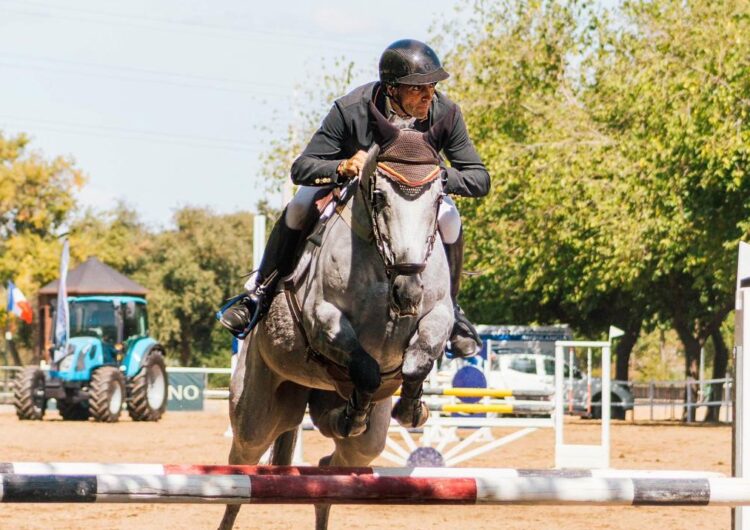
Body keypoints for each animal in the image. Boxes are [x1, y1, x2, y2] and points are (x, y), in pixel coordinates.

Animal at [220, 103, 456, 528]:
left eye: (436, 199)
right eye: (379, 197)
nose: (407, 291)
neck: (384, 266)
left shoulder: (438, 313)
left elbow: (418, 358)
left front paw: (411, 407)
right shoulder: (322, 319)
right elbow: (365, 366)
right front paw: (357, 411)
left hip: (362, 444)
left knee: (333, 466)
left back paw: (345, 420)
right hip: (256, 416)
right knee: (240, 468)